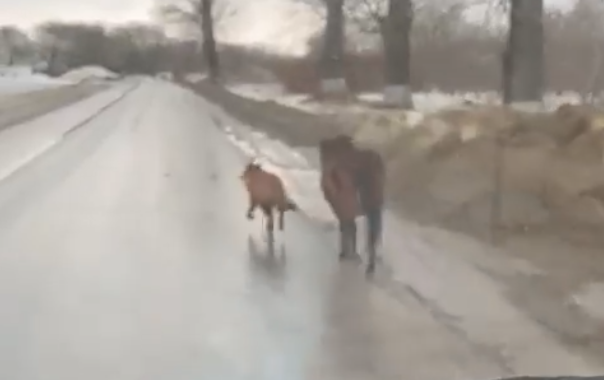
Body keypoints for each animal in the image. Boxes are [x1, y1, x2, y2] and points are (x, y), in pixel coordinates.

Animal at [318, 135, 384, 274]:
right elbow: (351, 228)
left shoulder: (341, 208)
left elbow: (347, 228)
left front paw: (347, 253)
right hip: (373, 202)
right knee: (373, 230)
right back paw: (370, 264)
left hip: (361, 204)